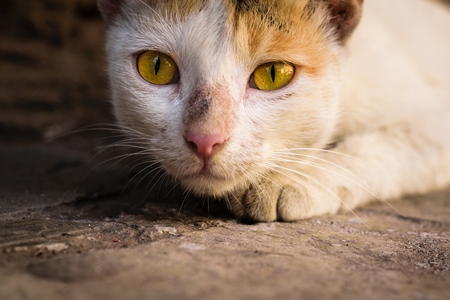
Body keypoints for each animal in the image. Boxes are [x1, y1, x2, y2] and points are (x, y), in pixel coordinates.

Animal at [97, 0, 450, 220]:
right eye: (156, 67)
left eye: (273, 74)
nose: (205, 139)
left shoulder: (432, 120)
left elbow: (372, 149)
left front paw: (287, 181)